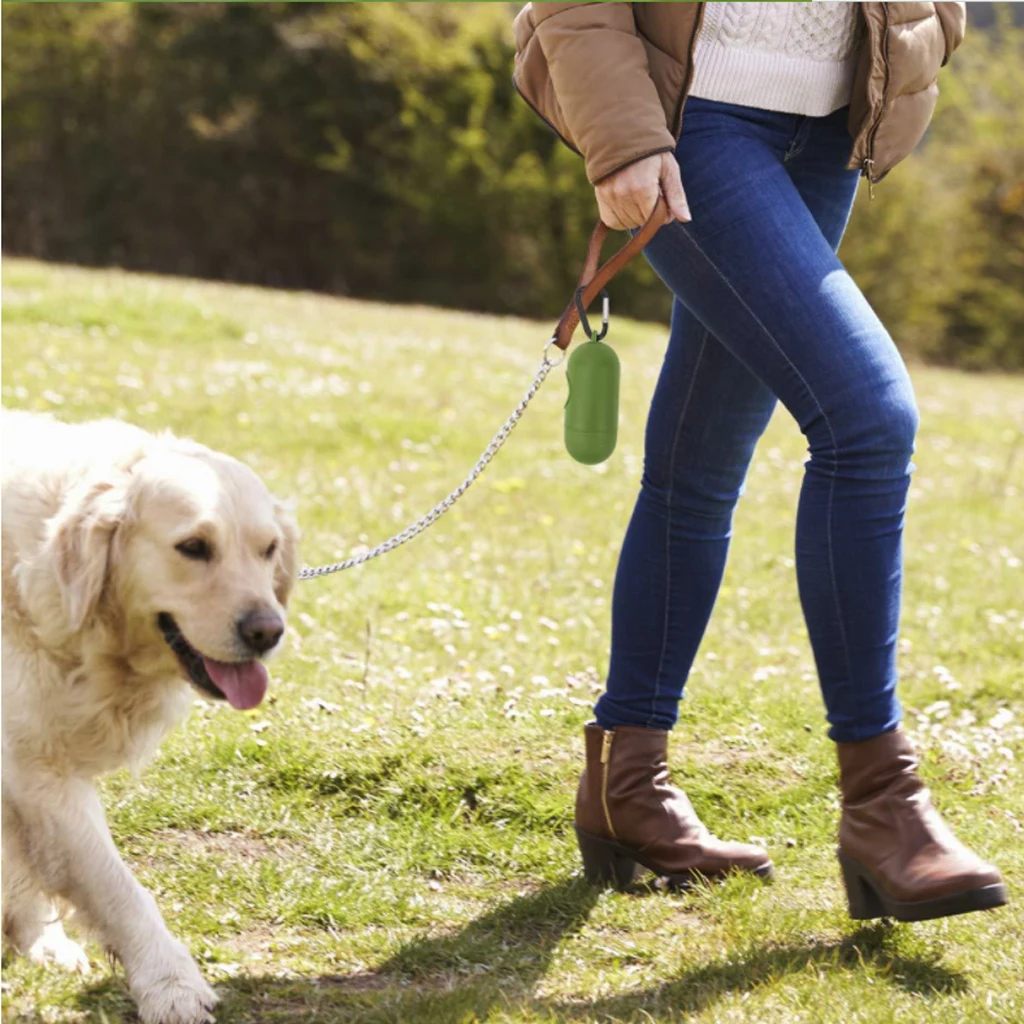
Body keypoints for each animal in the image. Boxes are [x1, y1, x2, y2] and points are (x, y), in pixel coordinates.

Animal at [4, 409, 299, 1024]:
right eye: (194, 547)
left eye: (268, 549)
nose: (268, 631)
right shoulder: (38, 770)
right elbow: (118, 887)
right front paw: (170, 984)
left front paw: (41, 941)